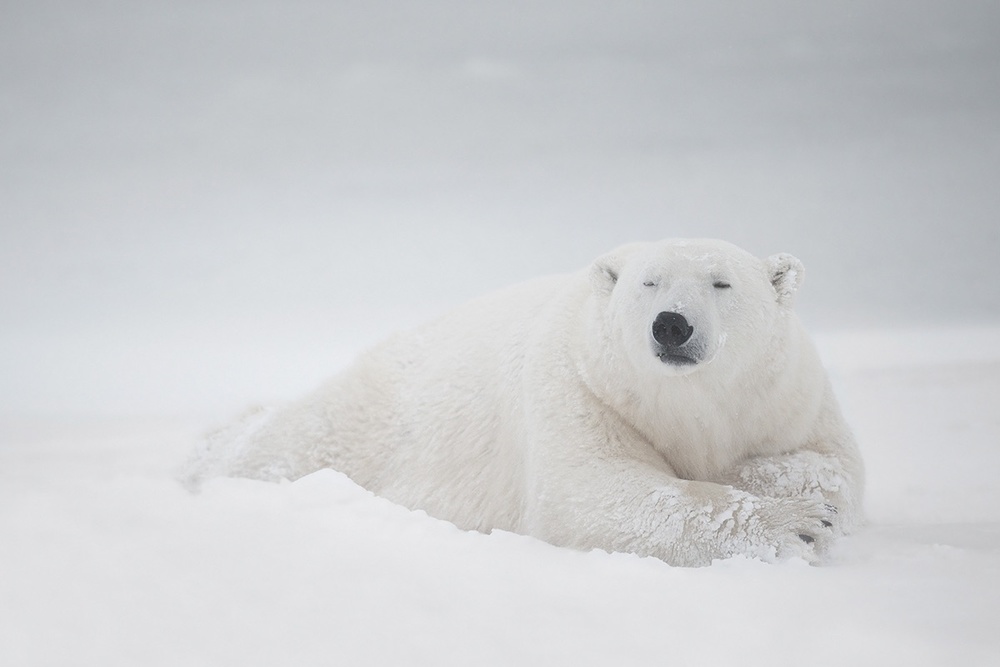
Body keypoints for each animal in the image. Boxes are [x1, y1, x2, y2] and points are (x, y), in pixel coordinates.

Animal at [184, 237, 864, 568]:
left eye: (721, 282)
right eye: (648, 282)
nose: (671, 325)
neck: (685, 403)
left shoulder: (787, 395)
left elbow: (830, 465)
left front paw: (785, 493)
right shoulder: (580, 387)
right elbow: (593, 491)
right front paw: (799, 523)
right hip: (372, 417)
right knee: (290, 440)